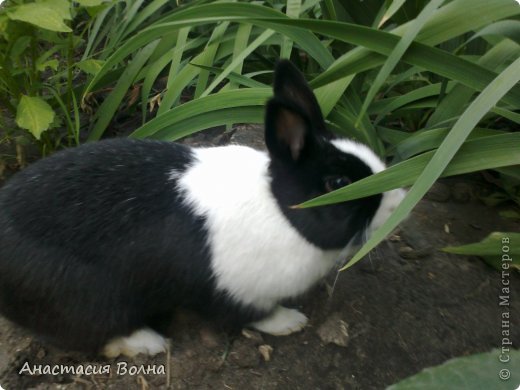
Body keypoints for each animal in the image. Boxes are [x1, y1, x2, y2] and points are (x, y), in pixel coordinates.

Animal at [0, 60, 406, 356]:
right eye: (337, 183)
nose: (400, 201)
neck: (280, 210)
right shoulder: (238, 291)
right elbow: (254, 315)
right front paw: (292, 321)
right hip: (90, 299)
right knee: (99, 332)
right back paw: (150, 343)